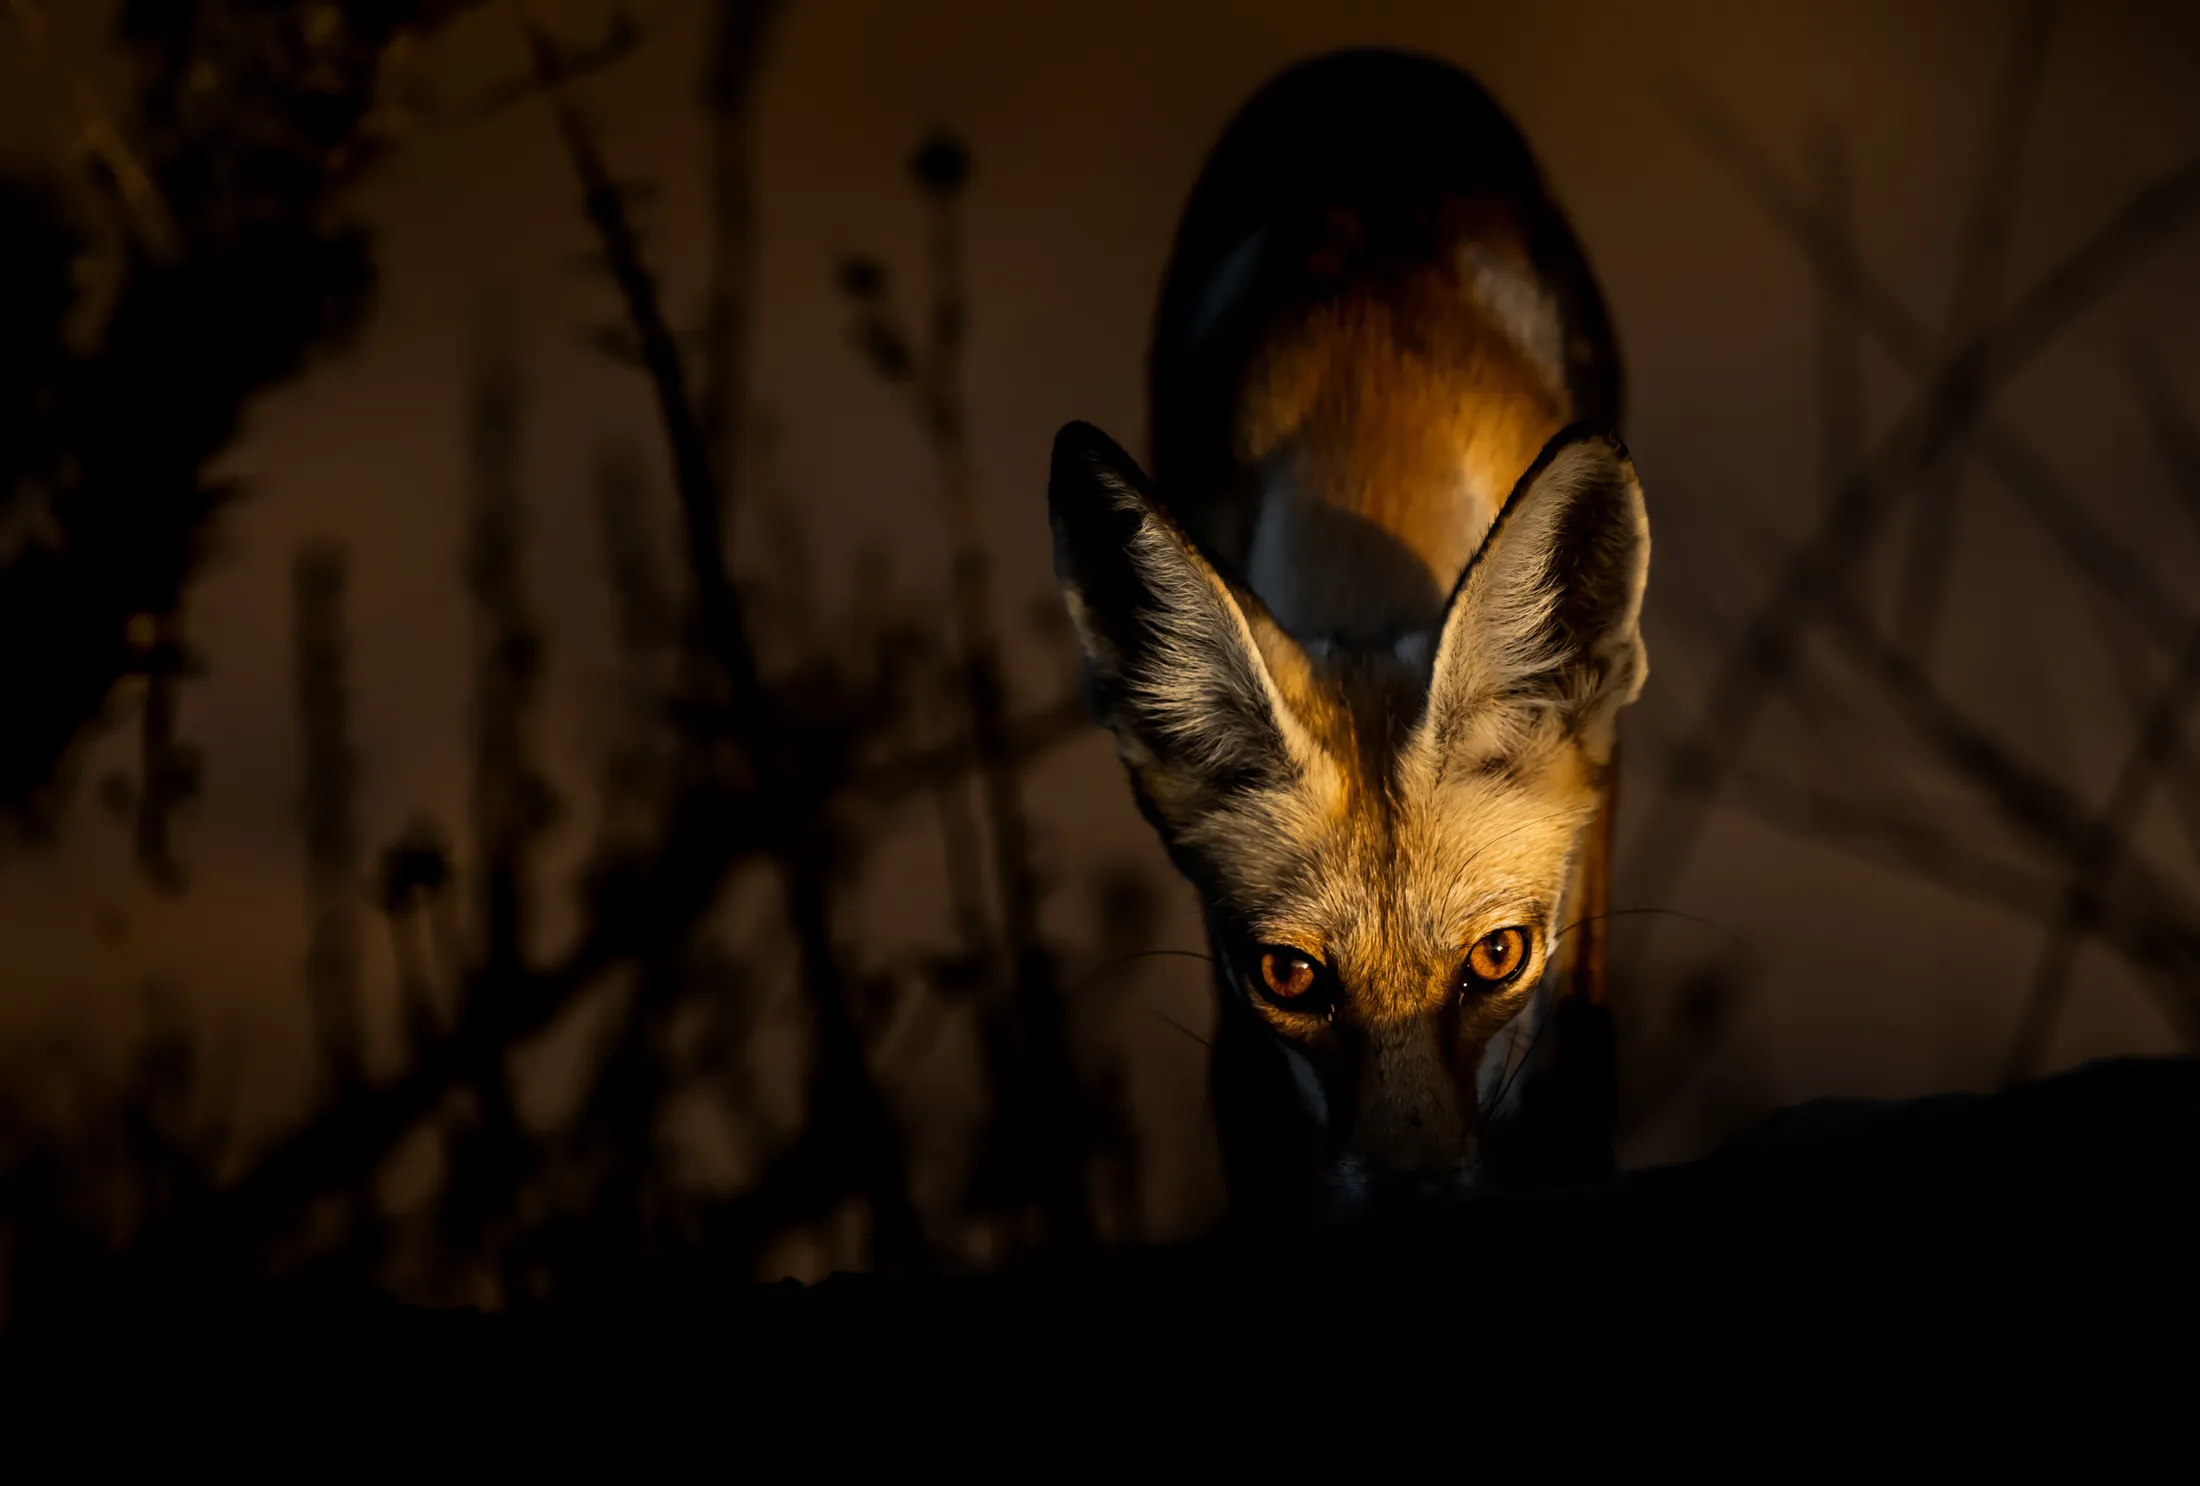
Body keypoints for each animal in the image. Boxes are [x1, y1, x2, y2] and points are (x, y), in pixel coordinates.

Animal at [1048, 50, 1649, 1227]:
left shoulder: (1591, 833)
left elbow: (1573, 1087)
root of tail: (1366, 61)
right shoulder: (1225, 969)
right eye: (1291, 977)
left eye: (1498, 957)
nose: (1413, 1201)